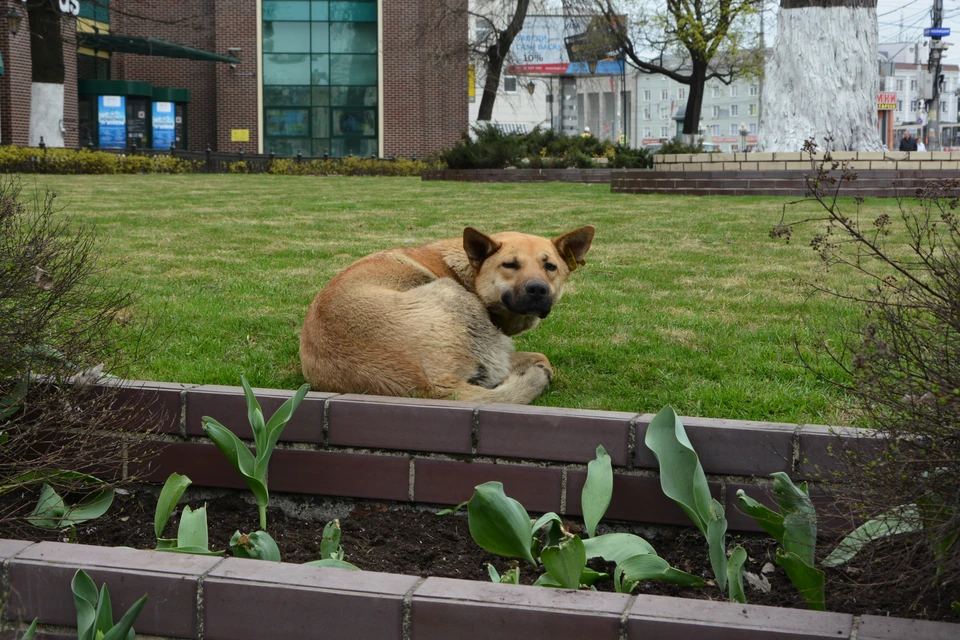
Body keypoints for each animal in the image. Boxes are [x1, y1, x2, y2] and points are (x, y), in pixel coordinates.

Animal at [300, 228, 592, 402]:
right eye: (509, 265)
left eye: (550, 267)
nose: (537, 289)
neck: (465, 271)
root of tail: (433, 388)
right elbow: (542, 358)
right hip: (452, 295)